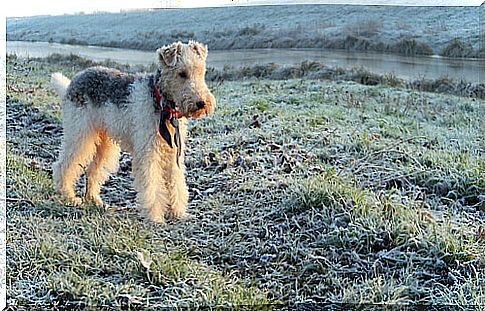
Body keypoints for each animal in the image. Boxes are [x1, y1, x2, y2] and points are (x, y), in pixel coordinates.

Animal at [50, 40, 215, 224]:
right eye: (182, 73)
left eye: (201, 71)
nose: (202, 103)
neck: (162, 104)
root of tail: (72, 82)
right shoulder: (149, 152)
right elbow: (152, 185)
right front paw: (155, 217)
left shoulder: (173, 152)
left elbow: (176, 182)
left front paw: (179, 213)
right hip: (80, 134)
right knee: (63, 165)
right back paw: (69, 196)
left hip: (104, 143)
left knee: (93, 170)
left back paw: (95, 200)